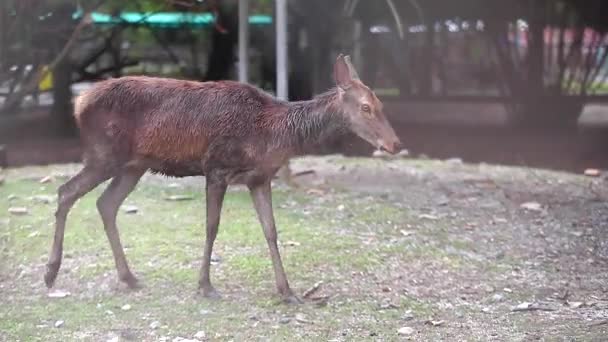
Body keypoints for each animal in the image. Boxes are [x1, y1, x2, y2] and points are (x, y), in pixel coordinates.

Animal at [45, 54, 402, 304]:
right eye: (366, 107)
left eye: (382, 104)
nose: (395, 144)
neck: (272, 135)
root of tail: (79, 101)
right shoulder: (215, 168)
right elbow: (212, 227)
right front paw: (205, 285)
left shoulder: (260, 178)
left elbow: (271, 231)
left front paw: (287, 292)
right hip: (104, 155)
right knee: (66, 191)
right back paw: (51, 274)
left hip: (133, 166)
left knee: (105, 203)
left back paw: (128, 277)